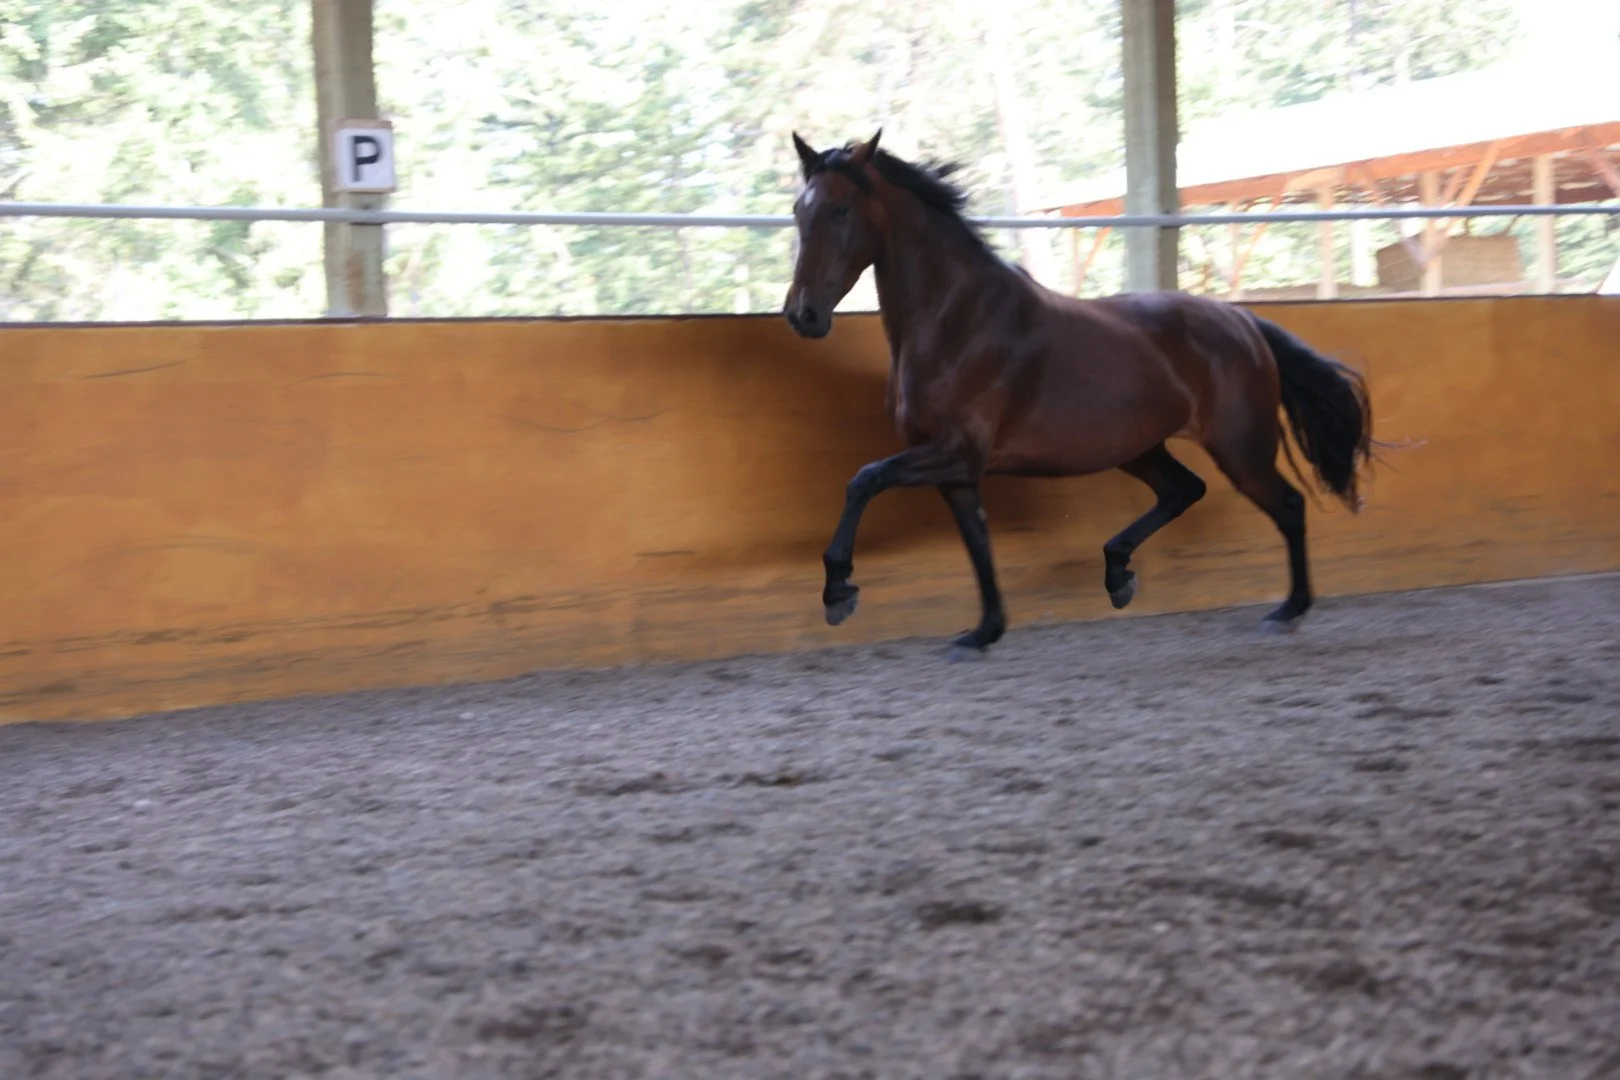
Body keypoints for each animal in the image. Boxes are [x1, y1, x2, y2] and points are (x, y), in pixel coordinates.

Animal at [782, 130, 1376, 655]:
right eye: (797, 211)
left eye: (840, 210)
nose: (802, 315)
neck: (958, 321)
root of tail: (1244, 322)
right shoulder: (956, 469)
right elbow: (977, 543)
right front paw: (983, 632)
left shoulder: (955, 453)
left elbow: (864, 479)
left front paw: (838, 592)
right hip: (1141, 448)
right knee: (1184, 490)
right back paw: (1117, 573)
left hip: (1240, 448)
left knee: (1288, 506)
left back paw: (1288, 610)